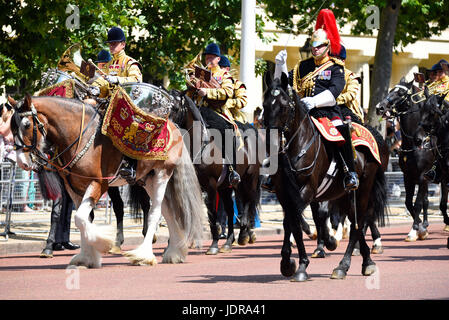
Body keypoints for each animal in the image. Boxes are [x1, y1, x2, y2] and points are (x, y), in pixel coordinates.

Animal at [7, 94, 203, 268]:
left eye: (26, 125)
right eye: (12, 128)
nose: (22, 162)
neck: (80, 135)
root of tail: (174, 126)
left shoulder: (98, 184)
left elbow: (80, 218)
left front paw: (104, 242)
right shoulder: (74, 188)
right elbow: (83, 219)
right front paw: (87, 257)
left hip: (162, 174)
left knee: (155, 214)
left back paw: (144, 255)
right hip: (148, 180)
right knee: (168, 212)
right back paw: (174, 253)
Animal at [264, 74, 386, 282]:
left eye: (284, 106)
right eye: (265, 104)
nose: (270, 143)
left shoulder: (306, 190)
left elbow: (292, 221)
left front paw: (300, 265)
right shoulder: (283, 192)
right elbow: (291, 221)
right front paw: (289, 263)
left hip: (363, 189)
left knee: (359, 223)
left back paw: (343, 266)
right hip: (343, 195)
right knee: (355, 222)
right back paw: (366, 261)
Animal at [374, 79, 448, 240]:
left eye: (401, 93)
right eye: (390, 90)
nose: (380, 107)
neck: (415, 142)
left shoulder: (422, 176)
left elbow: (418, 203)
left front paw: (415, 229)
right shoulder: (408, 177)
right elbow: (410, 203)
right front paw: (421, 226)